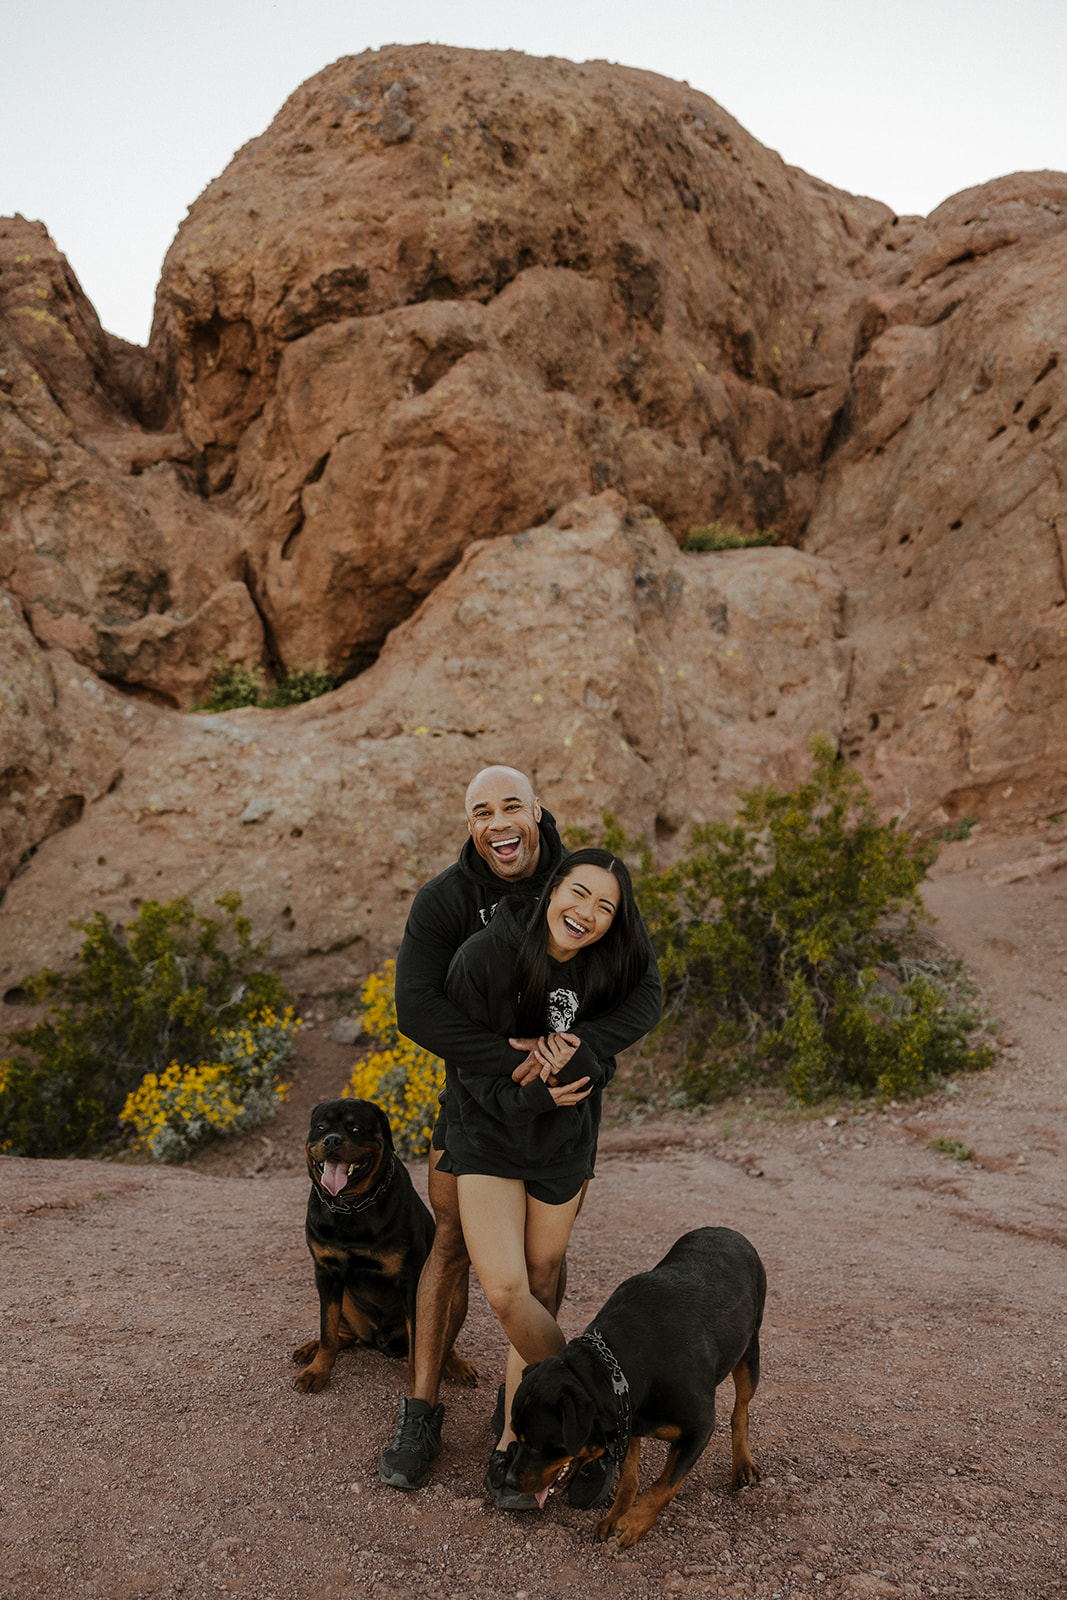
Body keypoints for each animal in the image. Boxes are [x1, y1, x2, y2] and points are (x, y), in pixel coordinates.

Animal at [294, 1094, 473, 1395]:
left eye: (356, 1129)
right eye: (320, 1127)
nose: (331, 1140)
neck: (352, 1207)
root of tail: (379, 1338)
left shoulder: (411, 1279)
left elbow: (419, 1346)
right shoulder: (326, 1273)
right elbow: (327, 1328)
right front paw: (318, 1370)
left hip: (452, 1291)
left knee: (442, 1343)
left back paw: (456, 1364)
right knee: (341, 1335)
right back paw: (312, 1348)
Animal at [505, 1222, 764, 1548]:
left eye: (539, 1445)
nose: (509, 1481)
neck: (614, 1366)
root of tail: (724, 1228)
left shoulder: (699, 1428)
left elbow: (665, 1485)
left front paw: (634, 1523)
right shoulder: (627, 1416)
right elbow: (629, 1478)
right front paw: (616, 1516)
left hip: (750, 1351)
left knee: (740, 1410)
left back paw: (743, 1464)